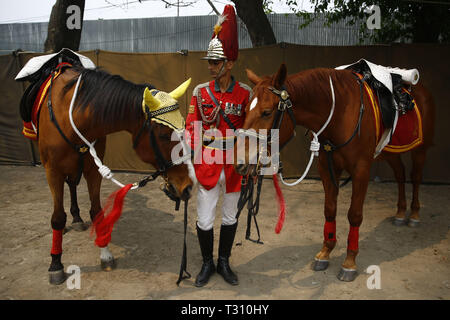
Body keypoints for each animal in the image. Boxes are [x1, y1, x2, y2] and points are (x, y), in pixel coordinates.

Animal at [31, 63, 193, 284]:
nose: (187, 186)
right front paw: (56, 264)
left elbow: (96, 211)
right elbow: (57, 217)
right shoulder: (53, 170)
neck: (73, 117)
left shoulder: (93, 169)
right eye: (163, 135)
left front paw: (105, 253)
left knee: (72, 184)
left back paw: (77, 218)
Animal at [236, 63, 436, 282]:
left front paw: (349, 261)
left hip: (420, 149)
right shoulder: (326, 166)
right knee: (400, 174)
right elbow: (330, 209)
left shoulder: (361, 170)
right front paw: (326, 252)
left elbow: (354, 215)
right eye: (245, 109)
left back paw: (414, 214)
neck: (340, 112)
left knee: (415, 177)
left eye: (266, 112)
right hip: (391, 152)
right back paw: (400, 212)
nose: (240, 160)